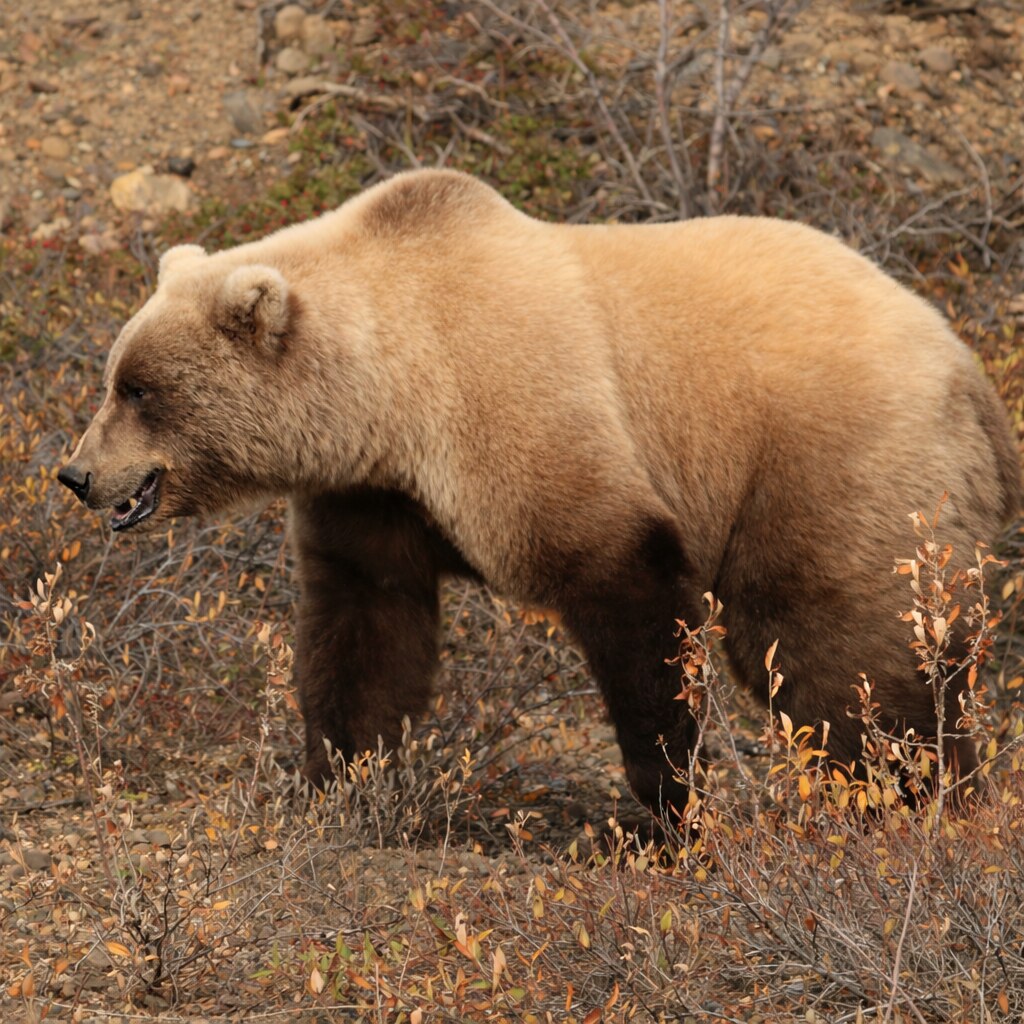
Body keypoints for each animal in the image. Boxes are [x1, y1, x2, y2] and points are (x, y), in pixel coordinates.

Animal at [58, 169, 1020, 817]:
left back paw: (910, 797)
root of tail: (969, 370)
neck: (390, 392)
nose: (77, 474)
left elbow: (630, 591)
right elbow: (364, 624)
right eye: (115, 378)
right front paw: (341, 779)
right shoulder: (372, 493)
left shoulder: (515, 406)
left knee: (839, 649)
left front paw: (671, 810)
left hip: (826, 464)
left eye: (139, 389)